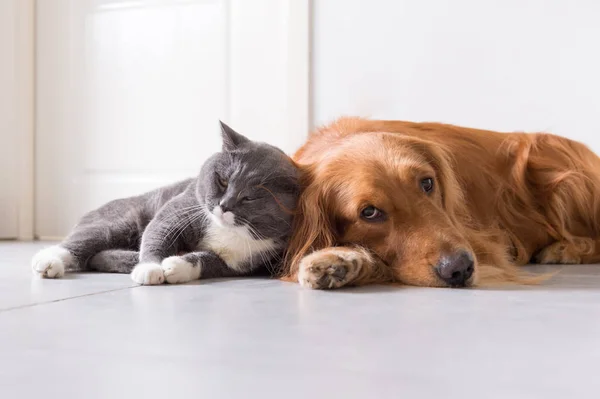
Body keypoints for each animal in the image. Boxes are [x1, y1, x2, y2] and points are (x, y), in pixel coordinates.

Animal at [30, 123, 300, 286]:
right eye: (222, 181)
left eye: (249, 197)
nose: (223, 206)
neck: (227, 231)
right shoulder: (179, 210)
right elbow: (157, 233)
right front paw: (150, 268)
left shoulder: (242, 262)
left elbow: (209, 262)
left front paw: (176, 266)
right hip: (121, 221)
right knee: (80, 241)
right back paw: (48, 262)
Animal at [284, 117, 600, 290]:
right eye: (369, 212)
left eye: (427, 183)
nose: (460, 269)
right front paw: (339, 260)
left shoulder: (486, 246)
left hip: (558, 168)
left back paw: (566, 248)